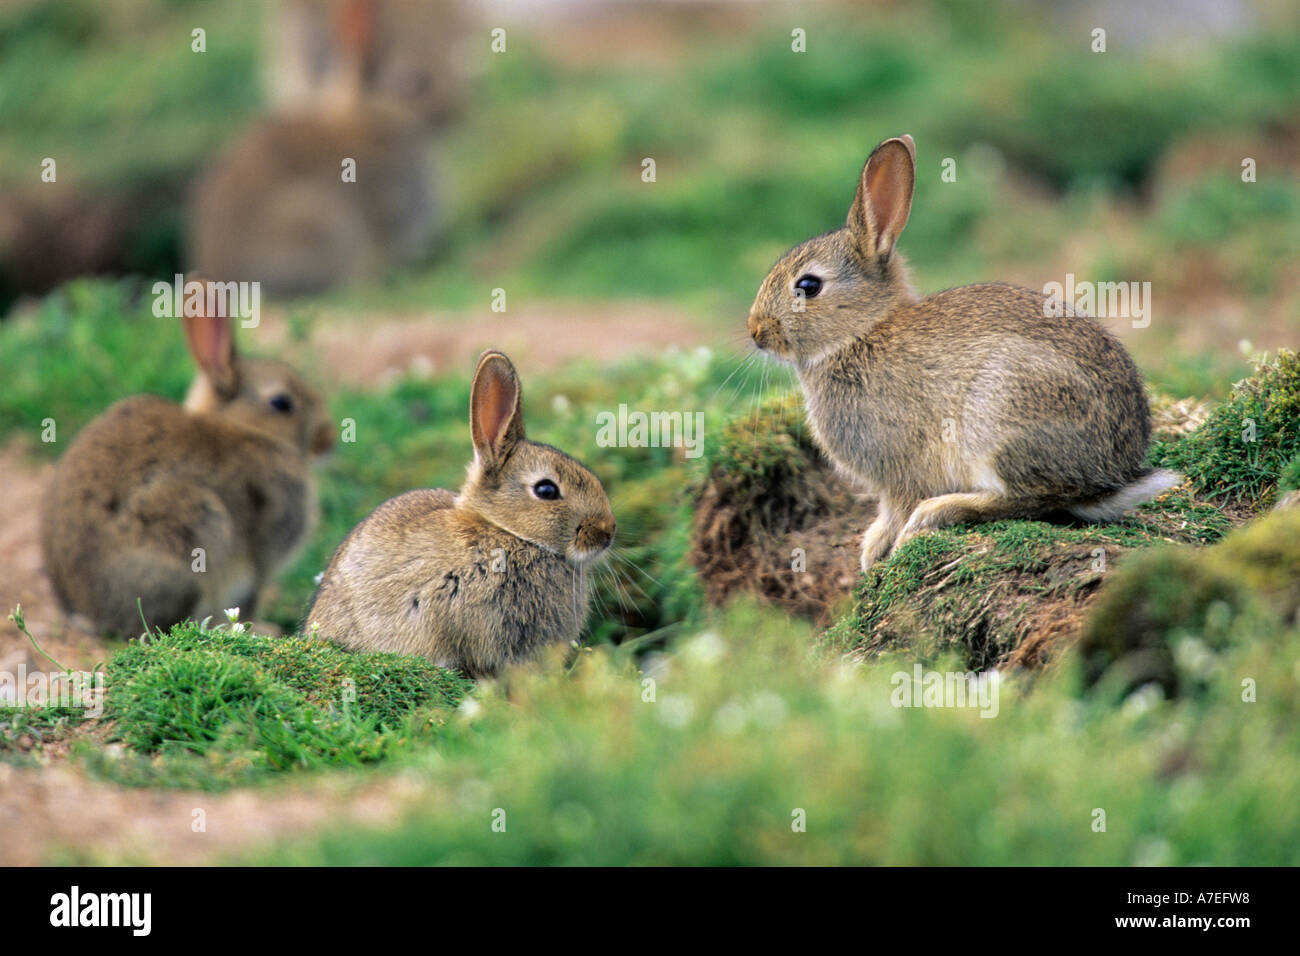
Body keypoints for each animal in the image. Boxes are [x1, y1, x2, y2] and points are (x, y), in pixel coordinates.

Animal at [40, 281, 335, 637]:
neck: (245, 428)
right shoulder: (259, 559)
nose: (330, 439)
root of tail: (88, 613)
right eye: (282, 403)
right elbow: (251, 596)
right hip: (193, 527)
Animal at [746, 134, 1180, 572]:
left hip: (998, 416)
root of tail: (1111, 474)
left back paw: (938, 511)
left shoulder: (900, 469)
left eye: (808, 286)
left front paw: (875, 551)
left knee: (1034, 496)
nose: (755, 331)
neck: (860, 332)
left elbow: (894, 510)